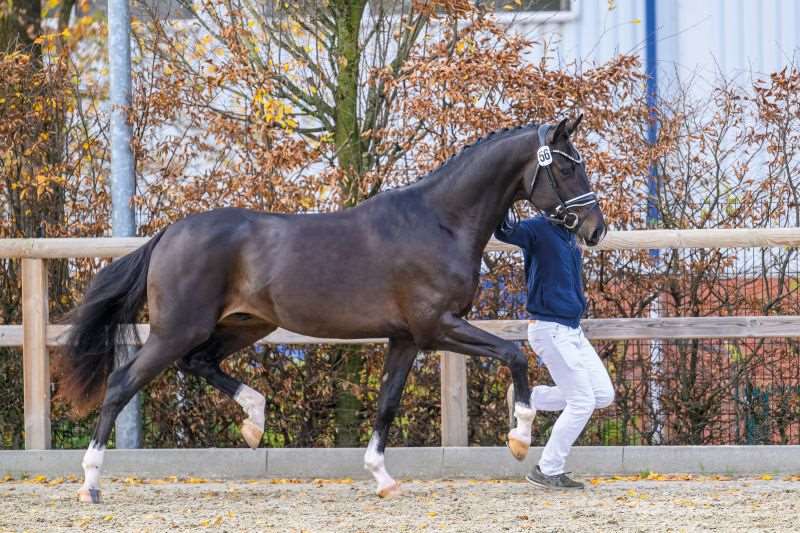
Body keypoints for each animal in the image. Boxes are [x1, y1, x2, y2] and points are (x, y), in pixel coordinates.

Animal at [59, 116, 605, 503]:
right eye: (566, 165)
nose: (595, 228)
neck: (439, 221)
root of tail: (169, 232)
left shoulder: (406, 338)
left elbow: (387, 402)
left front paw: (382, 479)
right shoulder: (437, 327)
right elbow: (513, 354)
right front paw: (518, 435)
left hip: (245, 324)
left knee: (200, 363)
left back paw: (254, 420)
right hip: (177, 329)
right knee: (121, 384)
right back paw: (89, 484)